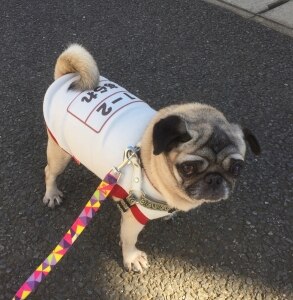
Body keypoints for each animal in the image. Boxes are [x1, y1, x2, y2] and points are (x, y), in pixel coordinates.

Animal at [42, 44, 260, 272]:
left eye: (236, 168)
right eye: (188, 168)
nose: (215, 179)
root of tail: (66, 76)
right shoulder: (134, 215)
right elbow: (129, 239)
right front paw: (131, 257)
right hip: (60, 152)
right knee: (50, 171)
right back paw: (52, 194)